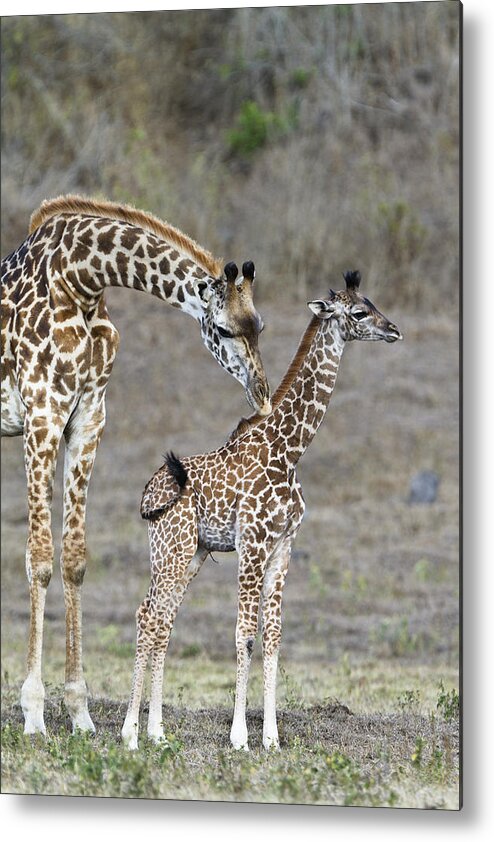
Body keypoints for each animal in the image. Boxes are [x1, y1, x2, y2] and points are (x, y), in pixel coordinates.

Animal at [0, 194, 270, 732]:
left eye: (261, 327)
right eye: (224, 328)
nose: (262, 395)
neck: (80, 280)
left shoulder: (88, 418)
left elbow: (75, 559)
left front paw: (79, 711)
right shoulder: (42, 414)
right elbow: (39, 559)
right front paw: (34, 711)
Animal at [120, 272, 402, 752]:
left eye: (373, 303)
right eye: (360, 312)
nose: (394, 330)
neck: (289, 452)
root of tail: (146, 494)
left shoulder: (282, 546)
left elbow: (272, 638)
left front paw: (270, 737)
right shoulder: (252, 543)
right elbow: (245, 635)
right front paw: (239, 736)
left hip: (193, 552)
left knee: (164, 623)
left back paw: (156, 732)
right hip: (170, 547)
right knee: (148, 617)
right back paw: (130, 734)